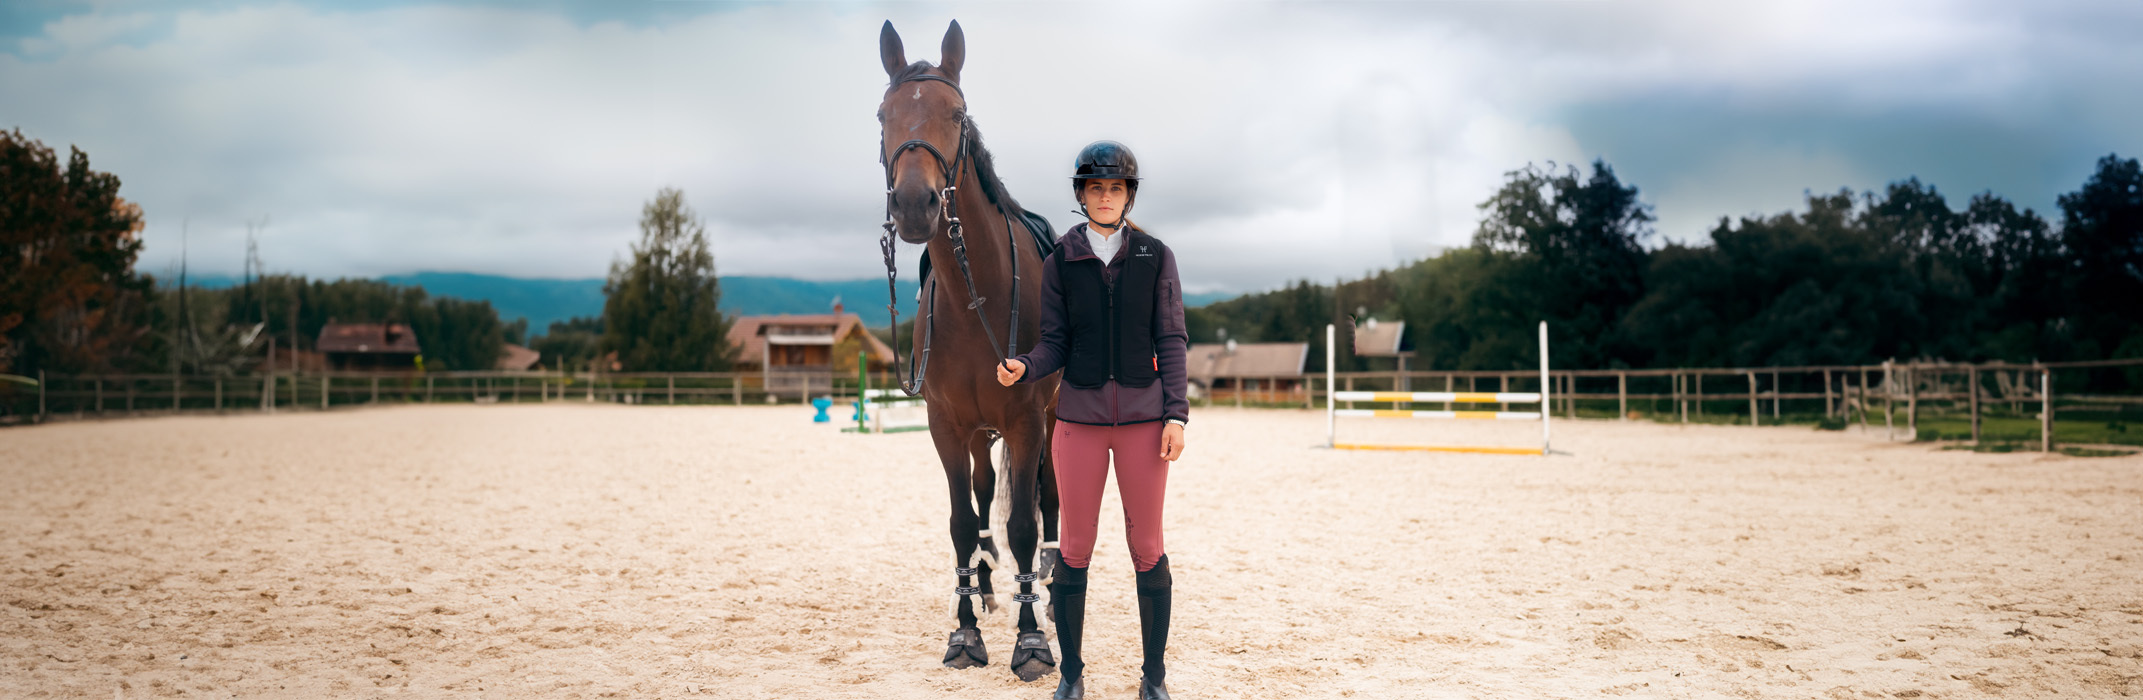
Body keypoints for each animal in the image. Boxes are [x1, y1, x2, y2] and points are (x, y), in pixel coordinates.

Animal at [870, 19, 1062, 685]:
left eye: (956, 114)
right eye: (884, 116)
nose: (913, 204)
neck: (977, 292)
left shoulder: (1028, 420)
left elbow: (1025, 523)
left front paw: (1031, 641)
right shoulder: (946, 425)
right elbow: (960, 522)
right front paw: (965, 630)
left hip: (1048, 420)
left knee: (1047, 498)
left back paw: (1048, 586)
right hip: (981, 433)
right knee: (982, 497)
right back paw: (984, 582)